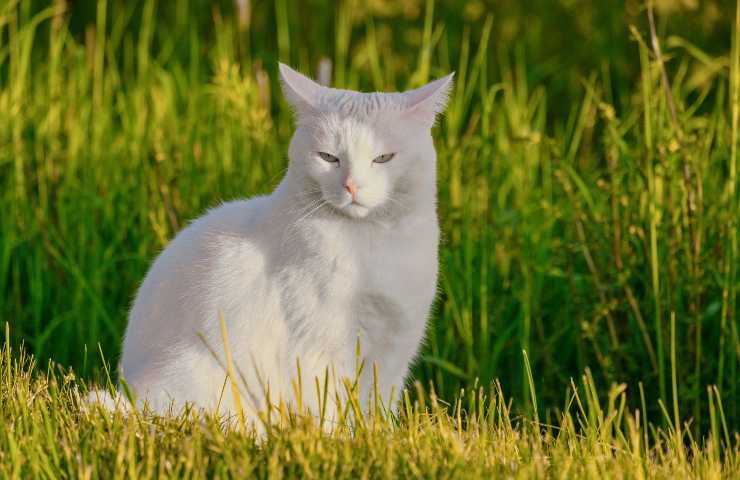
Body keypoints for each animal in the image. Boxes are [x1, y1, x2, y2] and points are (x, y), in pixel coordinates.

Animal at [113, 63, 454, 424]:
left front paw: (374, 434)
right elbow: (330, 411)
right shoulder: (319, 351)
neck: (368, 245)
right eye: (328, 157)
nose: (351, 185)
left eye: (383, 158)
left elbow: (377, 408)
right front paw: (337, 436)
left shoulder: (392, 351)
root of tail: (132, 394)